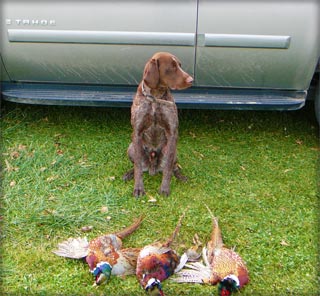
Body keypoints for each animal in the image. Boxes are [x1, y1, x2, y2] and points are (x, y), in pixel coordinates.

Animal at [122, 52, 192, 198]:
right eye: (172, 67)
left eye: (180, 65)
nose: (191, 80)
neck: (155, 98)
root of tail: (152, 168)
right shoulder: (137, 132)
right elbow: (138, 167)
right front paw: (138, 188)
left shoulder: (172, 133)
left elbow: (168, 168)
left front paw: (164, 188)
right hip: (131, 148)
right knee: (137, 166)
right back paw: (129, 174)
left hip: (174, 151)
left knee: (173, 167)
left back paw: (181, 177)